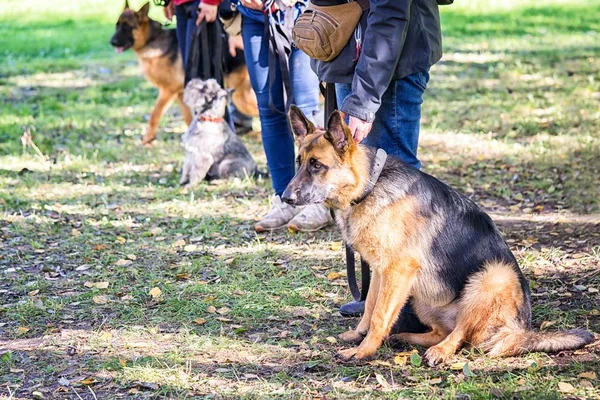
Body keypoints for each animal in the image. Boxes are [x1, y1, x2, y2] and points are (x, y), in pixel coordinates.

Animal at [284, 106, 592, 366]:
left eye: (317, 165)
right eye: (298, 162)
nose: (285, 197)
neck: (369, 186)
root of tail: (521, 331)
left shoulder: (397, 270)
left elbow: (380, 316)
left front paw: (363, 351)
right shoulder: (381, 271)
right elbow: (370, 307)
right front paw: (358, 336)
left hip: (493, 276)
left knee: (461, 334)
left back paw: (440, 351)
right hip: (420, 295)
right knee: (444, 330)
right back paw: (407, 338)